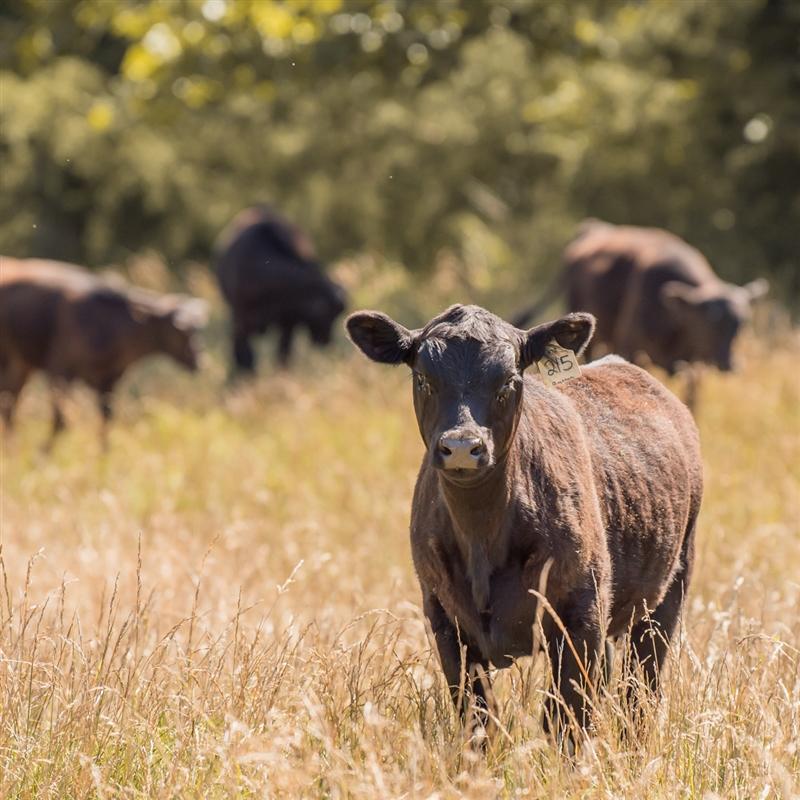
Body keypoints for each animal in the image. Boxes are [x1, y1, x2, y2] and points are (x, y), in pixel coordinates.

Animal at [0, 257, 207, 448]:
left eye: (197, 331)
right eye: (179, 332)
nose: (199, 361)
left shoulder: (109, 380)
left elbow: (106, 419)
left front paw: (104, 455)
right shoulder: (59, 369)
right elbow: (61, 421)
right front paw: (43, 452)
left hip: (22, 366)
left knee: (9, 406)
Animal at [215, 206, 347, 374]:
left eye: (335, 316)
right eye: (325, 316)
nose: (326, 343)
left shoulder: (288, 321)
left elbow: (284, 351)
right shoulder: (240, 316)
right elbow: (244, 350)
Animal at [346, 304, 703, 748]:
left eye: (508, 380)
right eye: (423, 377)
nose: (462, 447)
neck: (482, 537)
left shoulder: (581, 618)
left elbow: (566, 720)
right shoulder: (446, 622)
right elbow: (478, 720)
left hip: (667, 592)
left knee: (640, 690)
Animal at [513, 221, 768, 409]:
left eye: (742, 323)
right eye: (710, 324)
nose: (731, 364)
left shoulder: (694, 366)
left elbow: (692, 400)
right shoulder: (631, 348)